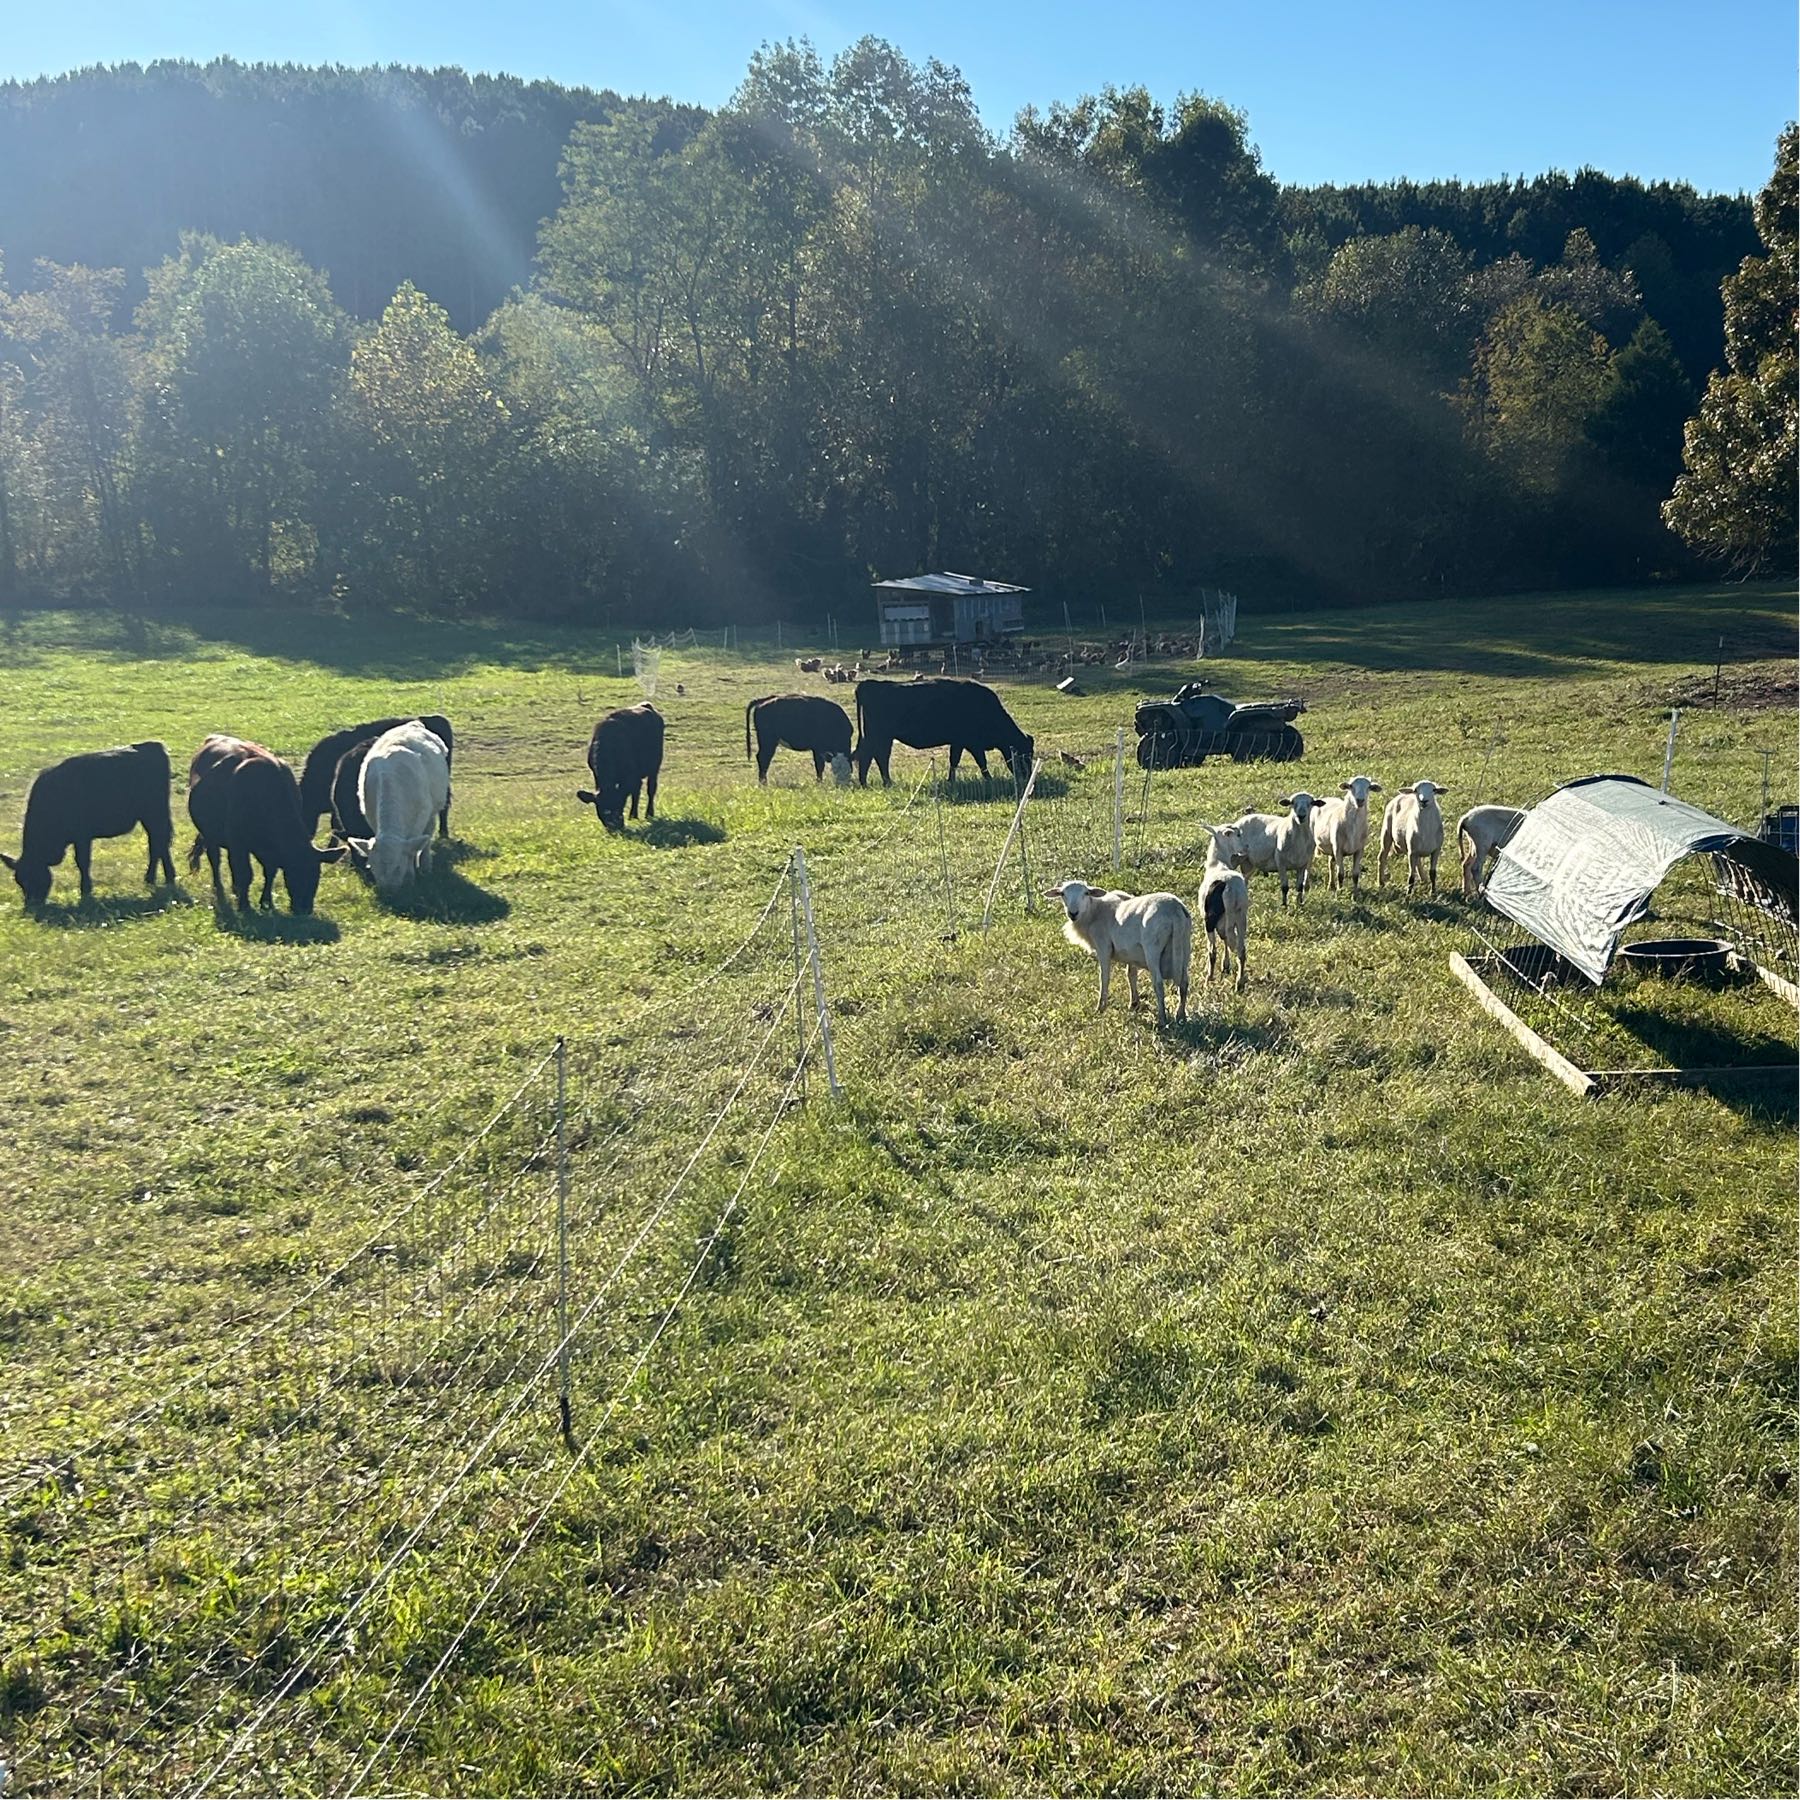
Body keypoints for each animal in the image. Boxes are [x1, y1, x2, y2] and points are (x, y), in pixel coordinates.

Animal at [3, 738, 177, 907]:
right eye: (19, 882)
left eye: (33, 876)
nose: (32, 905)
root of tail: (152, 745)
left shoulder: (82, 836)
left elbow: (82, 862)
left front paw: (85, 891)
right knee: (158, 844)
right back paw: (156, 879)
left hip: (155, 813)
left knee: (158, 843)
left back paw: (161, 878)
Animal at [188, 734, 342, 914]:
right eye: (294, 871)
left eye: (316, 875)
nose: (305, 910)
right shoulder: (238, 844)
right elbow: (245, 874)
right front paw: (245, 906)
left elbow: (270, 872)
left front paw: (266, 902)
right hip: (210, 833)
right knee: (215, 860)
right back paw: (220, 890)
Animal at [849, 676, 1036, 788]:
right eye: (1024, 754)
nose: (1027, 776)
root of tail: (869, 683)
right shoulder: (972, 743)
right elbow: (981, 762)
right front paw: (989, 780)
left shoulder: (958, 742)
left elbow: (954, 761)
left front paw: (951, 780)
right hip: (880, 736)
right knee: (877, 757)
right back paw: (882, 783)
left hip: (876, 737)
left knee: (871, 756)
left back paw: (871, 783)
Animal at [1044, 874, 1195, 1022]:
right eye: (1062, 894)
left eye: (1086, 893)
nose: (1073, 913)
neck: (1093, 912)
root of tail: (1175, 910)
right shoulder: (1131, 953)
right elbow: (1131, 975)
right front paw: (1134, 1004)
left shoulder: (1103, 947)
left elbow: (1104, 978)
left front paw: (1100, 1008)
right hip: (1184, 946)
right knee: (1184, 983)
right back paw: (1180, 1015)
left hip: (1153, 949)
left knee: (1158, 983)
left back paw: (1162, 1018)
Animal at [1195, 824, 1252, 993]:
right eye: (1238, 834)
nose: (1246, 847)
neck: (1218, 864)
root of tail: (1230, 889)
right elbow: (1225, 939)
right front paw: (1226, 966)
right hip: (1240, 915)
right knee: (1240, 948)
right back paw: (1239, 982)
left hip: (1210, 919)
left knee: (1213, 949)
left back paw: (1209, 978)